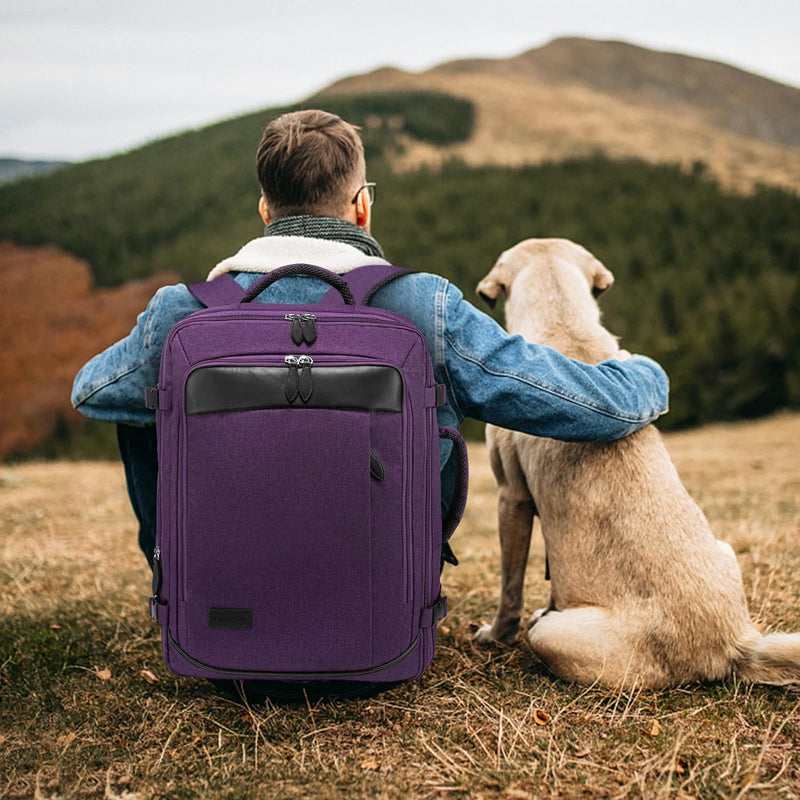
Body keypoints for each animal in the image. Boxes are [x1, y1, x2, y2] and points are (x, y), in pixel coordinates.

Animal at [476, 238, 800, 688]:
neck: (564, 319)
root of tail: (735, 645)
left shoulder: (512, 497)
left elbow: (510, 586)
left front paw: (495, 635)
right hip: (726, 548)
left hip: (550, 636)